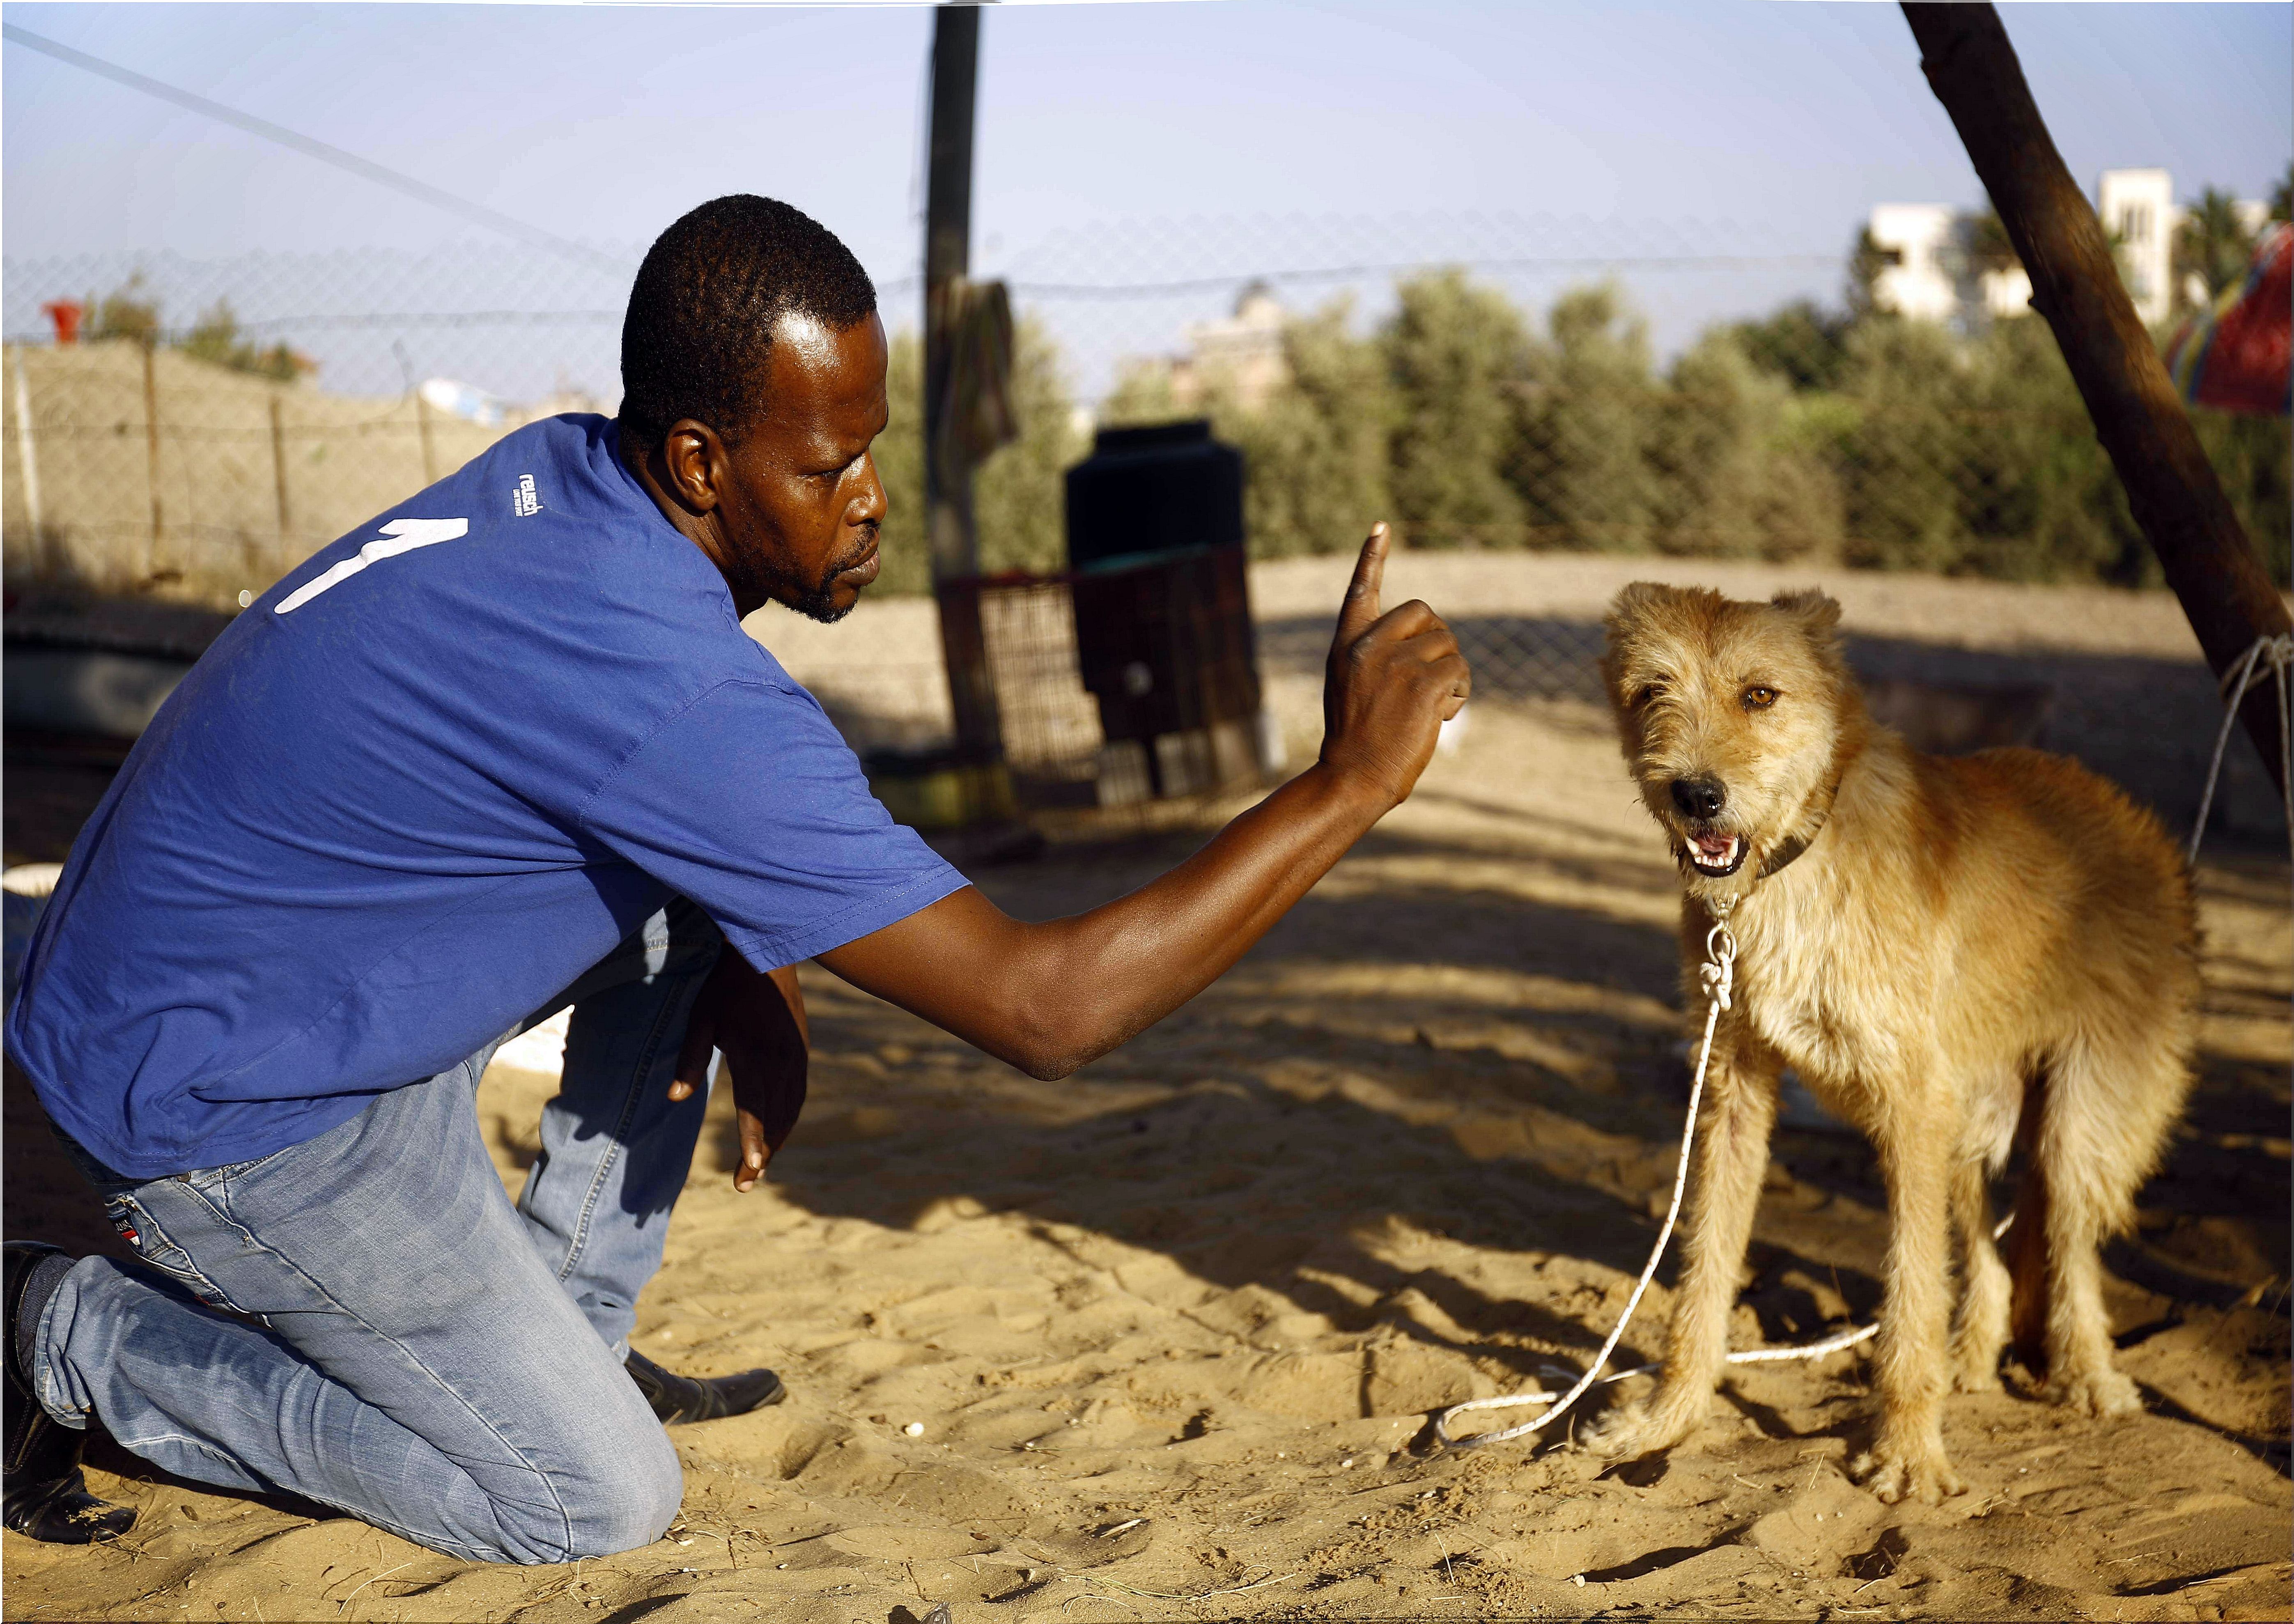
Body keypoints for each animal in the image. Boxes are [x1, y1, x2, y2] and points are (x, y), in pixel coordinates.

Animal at [1587, 587, 2193, 1514]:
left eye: (1759, 696)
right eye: (1653, 691)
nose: (1696, 795)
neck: (1796, 864)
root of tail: (2129, 813)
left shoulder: (1910, 1106)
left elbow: (1910, 1290)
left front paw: (1907, 1450)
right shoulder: (1736, 1090)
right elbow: (1705, 1271)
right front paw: (1669, 1418)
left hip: (2077, 1123)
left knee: (2069, 1249)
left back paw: (2089, 1374)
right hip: (1973, 1122)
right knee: (1990, 1253)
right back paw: (1973, 1358)